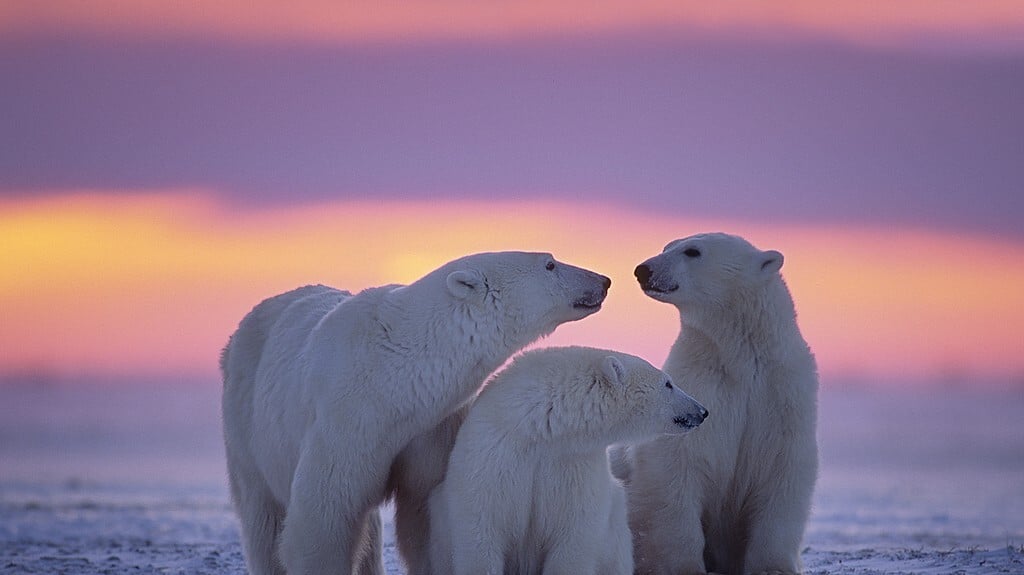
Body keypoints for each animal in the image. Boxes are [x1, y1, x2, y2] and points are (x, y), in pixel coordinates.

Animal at [221, 251, 610, 572]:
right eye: (550, 264)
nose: (603, 280)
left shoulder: (432, 427)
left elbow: (424, 509)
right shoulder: (346, 419)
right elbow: (325, 516)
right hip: (246, 420)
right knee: (263, 517)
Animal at [428, 343, 708, 572]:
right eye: (668, 383)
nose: (702, 411)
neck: (541, 428)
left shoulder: (575, 465)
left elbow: (573, 537)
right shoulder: (494, 455)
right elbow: (482, 529)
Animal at [618, 231, 819, 572]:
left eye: (692, 251)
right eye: (666, 246)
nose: (643, 270)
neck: (740, 358)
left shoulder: (783, 394)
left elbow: (783, 472)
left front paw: (772, 566)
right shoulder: (701, 385)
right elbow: (676, 465)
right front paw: (683, 566)